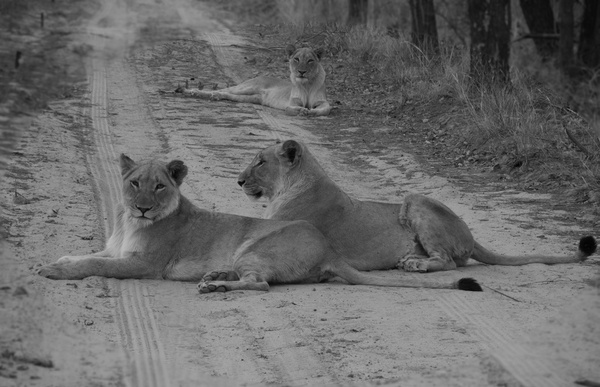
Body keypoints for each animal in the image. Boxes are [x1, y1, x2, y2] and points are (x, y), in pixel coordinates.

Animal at [36, 153, 482, 292]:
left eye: (160, 186)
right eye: (134, 184)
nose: (143, 208)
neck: (129, 223)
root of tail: (330, 251)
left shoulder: (144, 265)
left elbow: (95, 263)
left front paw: (51, 270)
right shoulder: (117, 248)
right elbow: (88, 254)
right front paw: (60, 259)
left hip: (255, 248)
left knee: (260, 284)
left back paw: (216, 285)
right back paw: (216, 275)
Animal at [173, 44, 332, 116]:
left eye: (310, 61)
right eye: (296, 59)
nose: (302, 72)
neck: (307, 84)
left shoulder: (322, 102)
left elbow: (326, 109)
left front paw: (311, 112)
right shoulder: (291, 103)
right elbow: (293, 108)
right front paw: (304, 110)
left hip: (250, 98)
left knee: (226, 94)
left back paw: (213, 96)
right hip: (247, 87)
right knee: (224, 90)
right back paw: (191, 92)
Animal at [238, 141, 596, 274]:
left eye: (260, 162)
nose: (238, 181)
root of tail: (470, 232)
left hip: (415, 199)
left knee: (448, 262)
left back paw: (415, 264)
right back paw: (410, 260)